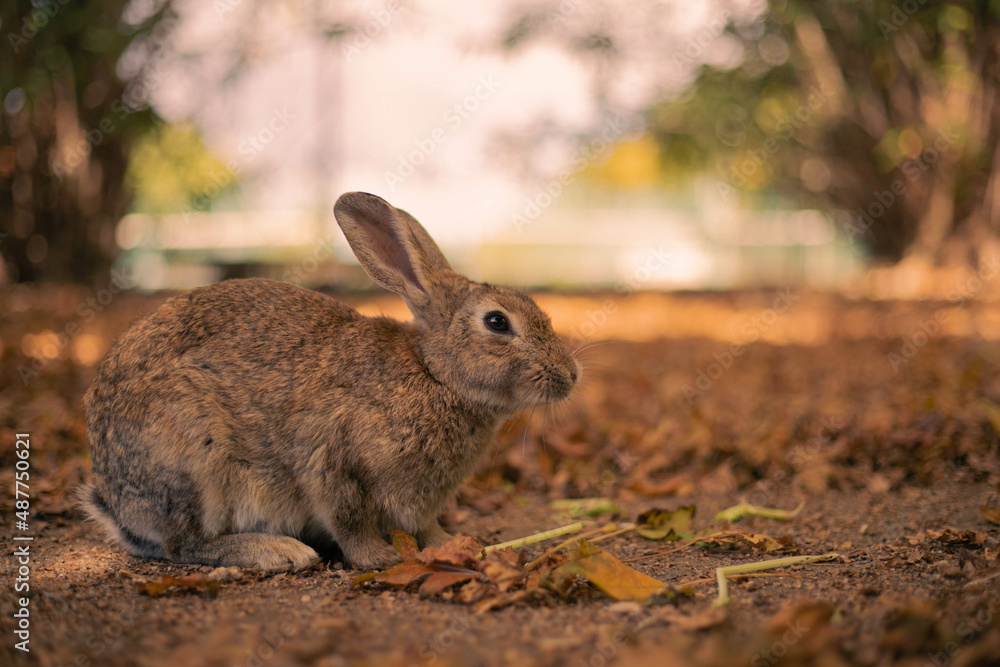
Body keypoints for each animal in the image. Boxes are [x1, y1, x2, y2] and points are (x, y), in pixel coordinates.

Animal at [80, 192, 581, 572]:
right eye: (497, 322)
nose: (571, 376)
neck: (434, 373)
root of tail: (116, 504)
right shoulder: (330, 459)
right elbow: (349, 521)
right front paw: (380, 558)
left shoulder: (418, 502)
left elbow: (425, 526)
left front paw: (453, 544)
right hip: (190, 449)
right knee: (184, 545)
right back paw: (278, 551)